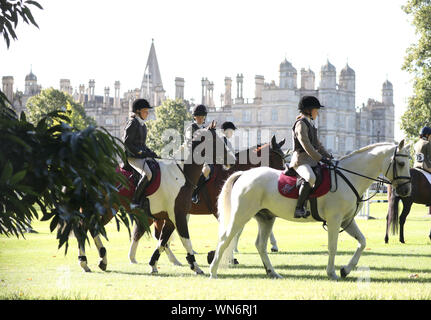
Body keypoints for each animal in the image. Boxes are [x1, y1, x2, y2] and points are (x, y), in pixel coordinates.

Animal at [128, 135, 286, 268]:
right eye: (276, 158)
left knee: (151, 233)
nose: (283, 177)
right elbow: (231, 231)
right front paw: (226, 257)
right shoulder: (222, 211)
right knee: (144, 232)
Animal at [211, 141, 414, 280]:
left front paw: (345, 270)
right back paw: (213, 272)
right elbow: (333, 246)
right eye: (401, 164)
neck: (349, 176)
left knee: (260, 245)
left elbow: (362, 242)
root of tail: (244, 175)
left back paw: (273, 273)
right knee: (225, 239)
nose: (406, 190)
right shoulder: (334, 220)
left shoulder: (347, 221)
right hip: (241, 216)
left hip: (266, 218)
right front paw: (332, 273)